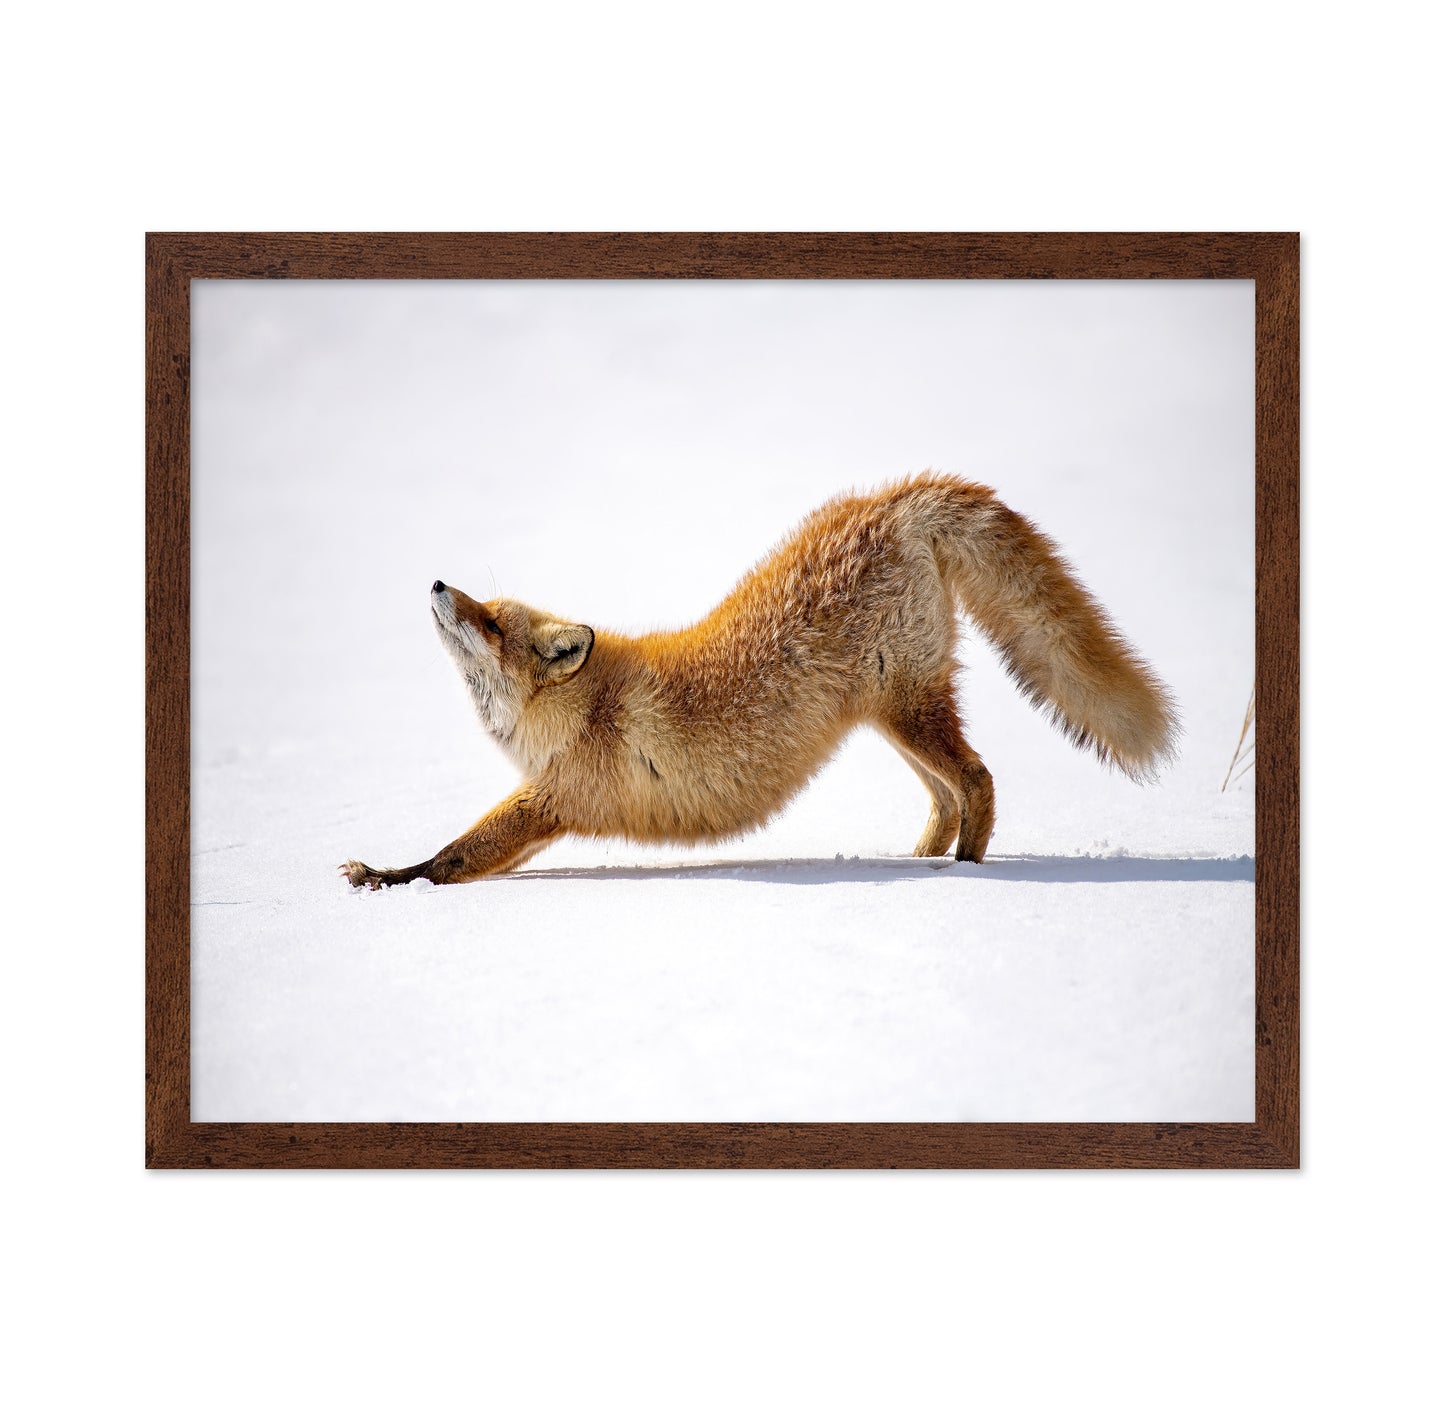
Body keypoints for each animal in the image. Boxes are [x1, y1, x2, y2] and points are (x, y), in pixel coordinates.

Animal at [341, 472, 1179, 889]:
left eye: (490, 624)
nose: (438, 584)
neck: (584, 708)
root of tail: (890, 499)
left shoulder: (553, 798)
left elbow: (453, 856)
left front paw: (388, 877)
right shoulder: (554, 800)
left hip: (906, 707)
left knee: (978, 781)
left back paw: (963, 881)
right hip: (889, 715)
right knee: (948, 795)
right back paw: (921, 862)